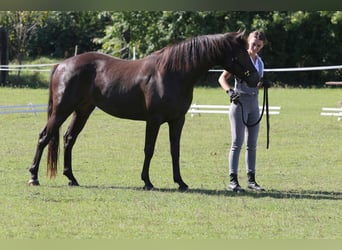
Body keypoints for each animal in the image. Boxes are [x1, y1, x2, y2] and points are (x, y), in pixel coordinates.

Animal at [28, 31, 260, 191]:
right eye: (240, 55)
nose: (256, 79)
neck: (172, 73)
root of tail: (62, 65)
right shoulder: (154, 120)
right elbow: (149, 149)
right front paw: (147, 181)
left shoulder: (178, 120)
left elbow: (175, 150)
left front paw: (180, 182)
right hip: (62, 110)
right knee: (44, 136)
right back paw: (33, 177)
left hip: (83, 110)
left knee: (69, 138)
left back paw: (72, 179)